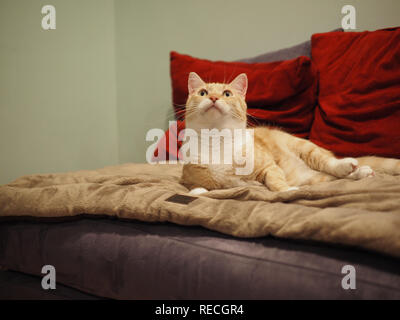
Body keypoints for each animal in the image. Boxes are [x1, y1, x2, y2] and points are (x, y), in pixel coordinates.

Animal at [181, 72, 400, 195]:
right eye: (202, 93)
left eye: (227, 94)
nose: (214, 98)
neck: (216, 140)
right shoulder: (191, 177)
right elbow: (198, 189)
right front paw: (199, 191)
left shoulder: (269, 167)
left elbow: (275, 181)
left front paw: (286, 191)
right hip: (314, 178)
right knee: (334, 178)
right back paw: (361, 172)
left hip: (306, 149)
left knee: (331, 165)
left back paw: (349, 166)